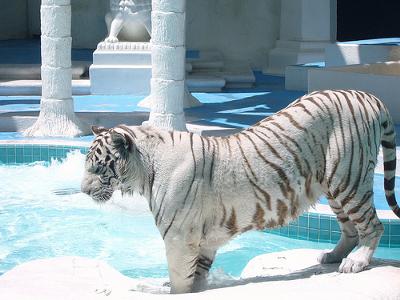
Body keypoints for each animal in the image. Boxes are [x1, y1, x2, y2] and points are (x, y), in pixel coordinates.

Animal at [80, 88, 396, 292]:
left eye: (97, 168)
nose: (82, 190)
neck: (144, 171)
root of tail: (369, 97)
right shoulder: (204, 240)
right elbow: (198, 277)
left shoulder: (180, 238)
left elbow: (180, 281)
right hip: (334, 185)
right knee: (350, 228)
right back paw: (332, 256)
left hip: (348, 179)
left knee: (373, 225)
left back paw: (355, 261)